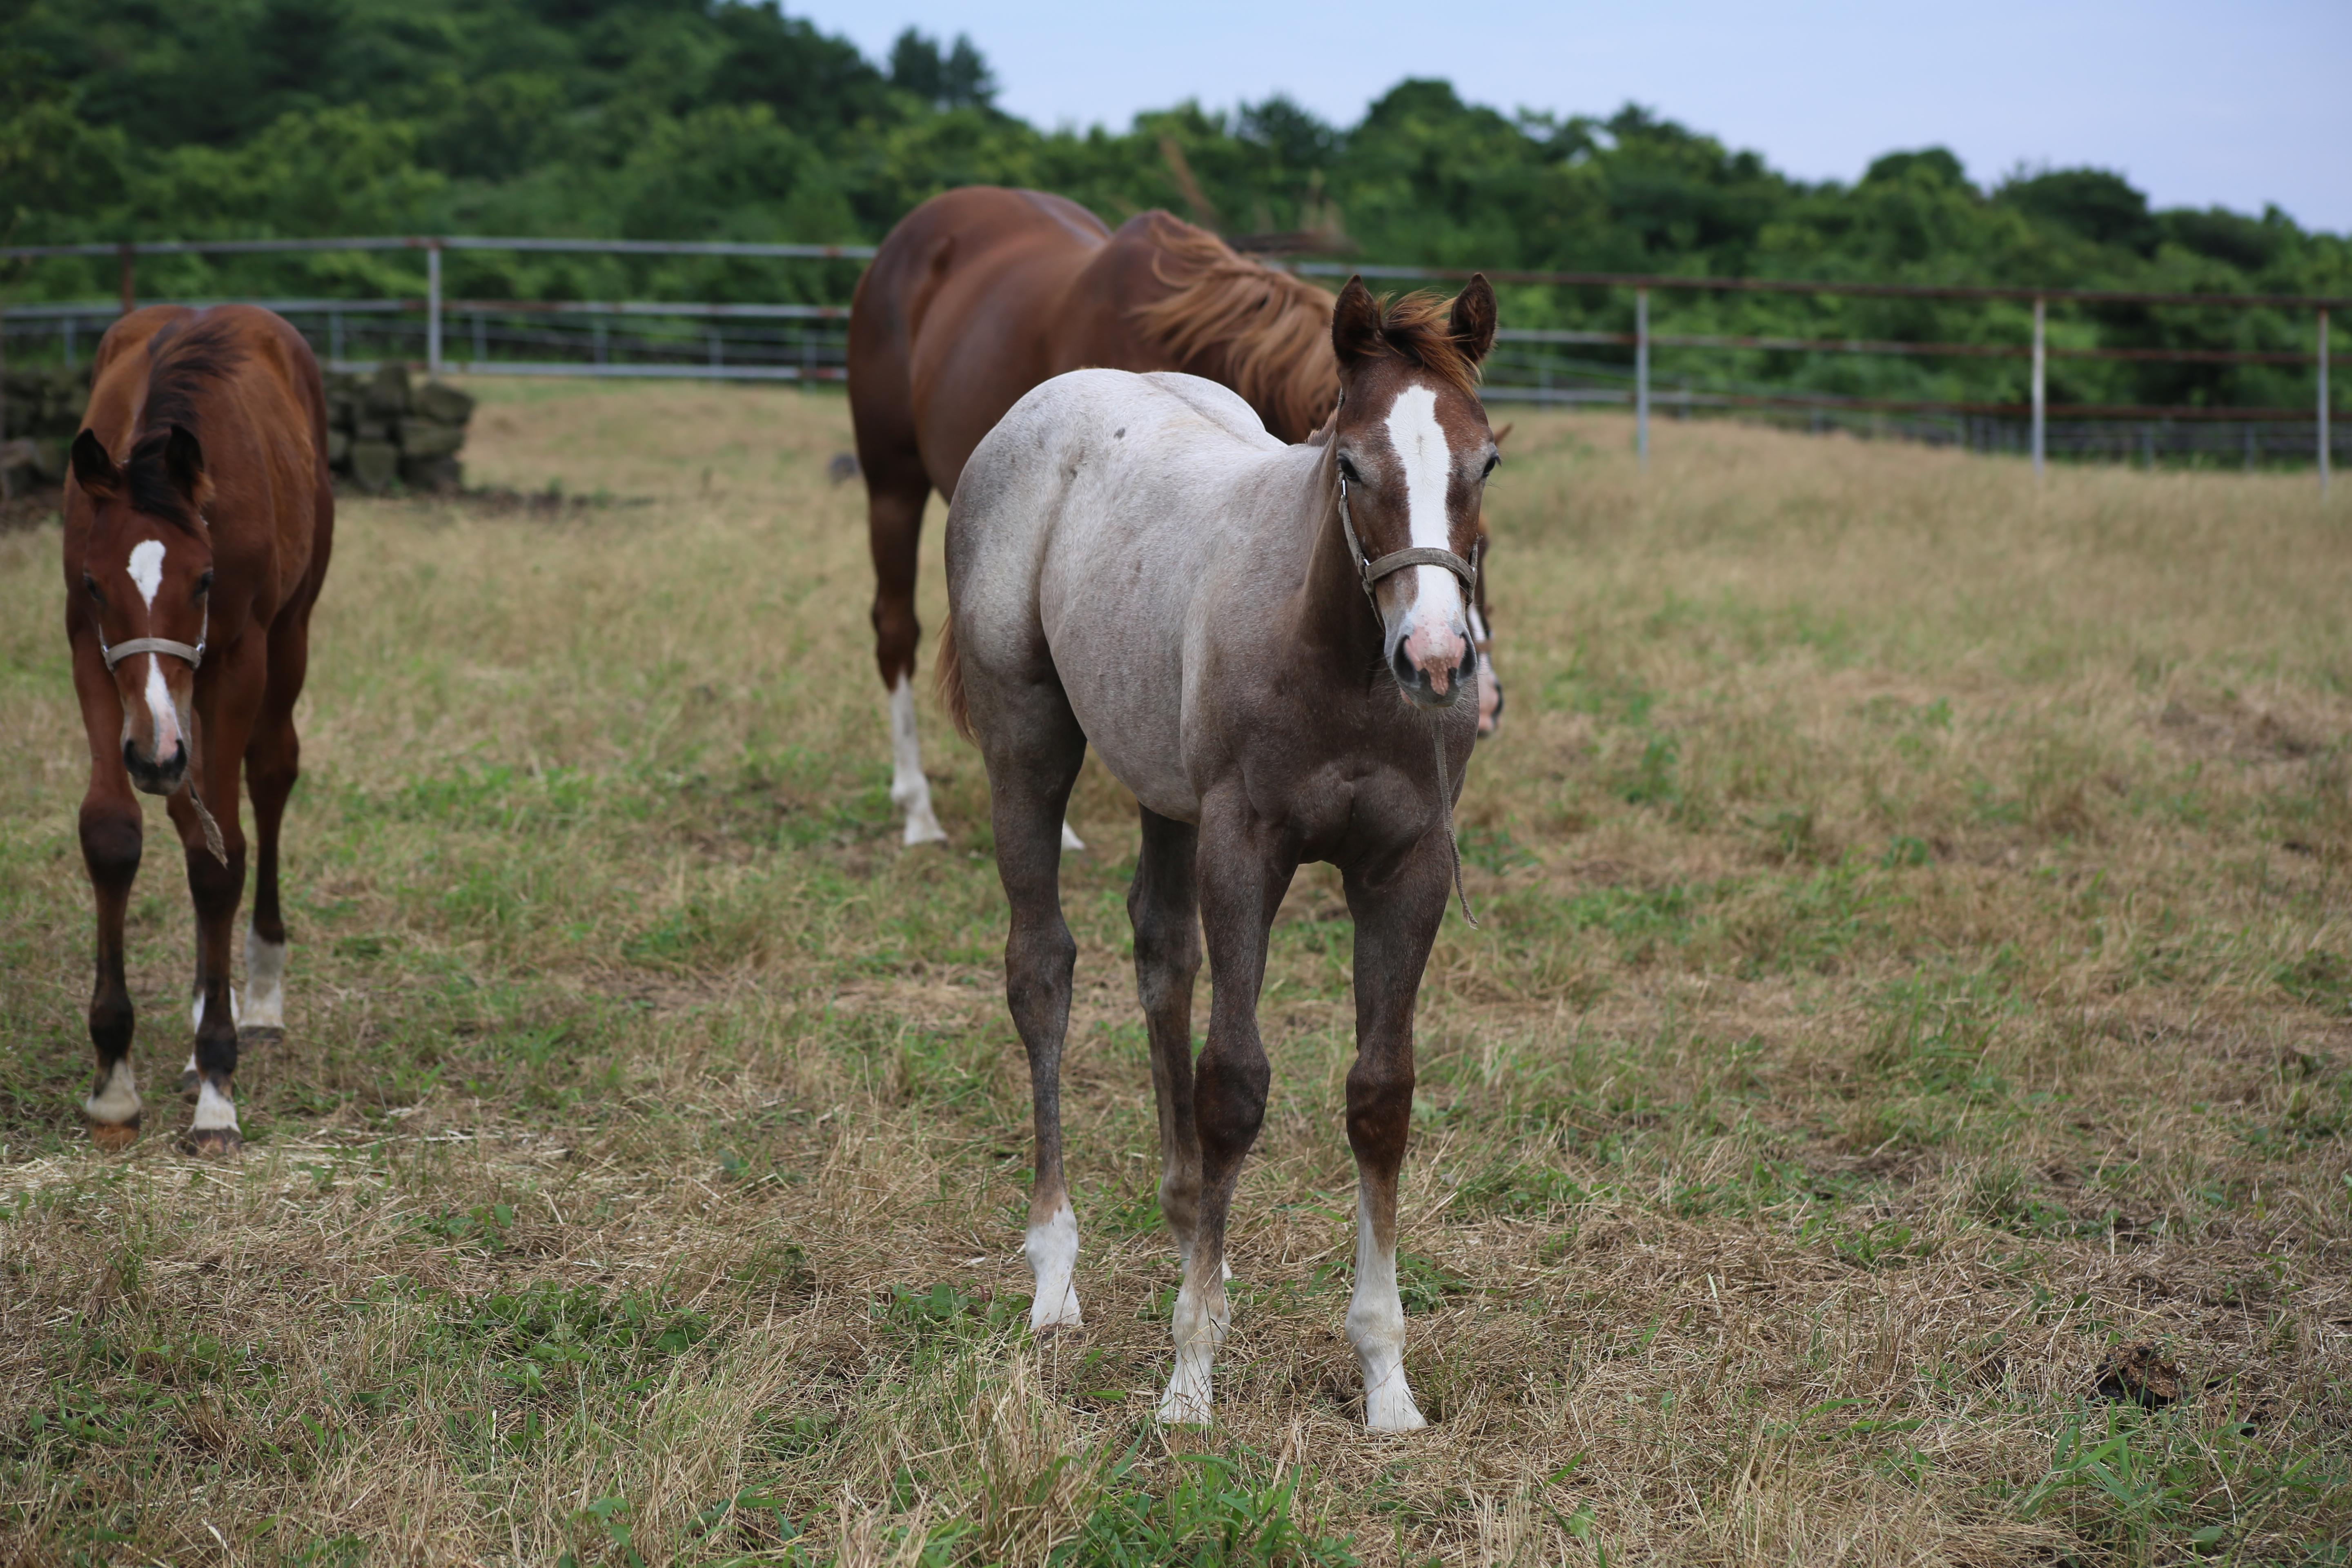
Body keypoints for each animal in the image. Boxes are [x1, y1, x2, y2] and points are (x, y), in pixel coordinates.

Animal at [64, 305, 336, 1161]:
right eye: (96, 584)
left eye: (206, 580)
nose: (152, 756)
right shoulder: (90, 650)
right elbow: (114, 834)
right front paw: (113, 1087)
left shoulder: (238, 656)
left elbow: (223, 862)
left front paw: (220, 1090)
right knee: (191, 814)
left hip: (288, 637)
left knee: (270, 776)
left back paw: (259, 1002)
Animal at [846, 188, 1505, 851]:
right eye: (1354, 472)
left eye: (1486, 477)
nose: (1477, 699)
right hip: (893, 487)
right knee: (897, 632)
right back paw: (919, 809)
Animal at [931, 276, 1486, 1429]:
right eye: (1350, 464)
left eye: (1486, 462)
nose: (1435, 657)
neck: (1337, 661)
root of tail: (1053, 396)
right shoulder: (1246, 846)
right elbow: (1233, 1081)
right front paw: (1189, 1379)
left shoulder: (1406, 865)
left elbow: (1380, 1093)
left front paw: (1386, 1378)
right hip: (1027, 739)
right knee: (1040, 967)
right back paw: (1056, 1272)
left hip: (1164, 789)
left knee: (1162, 958)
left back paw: (1194, 1225)